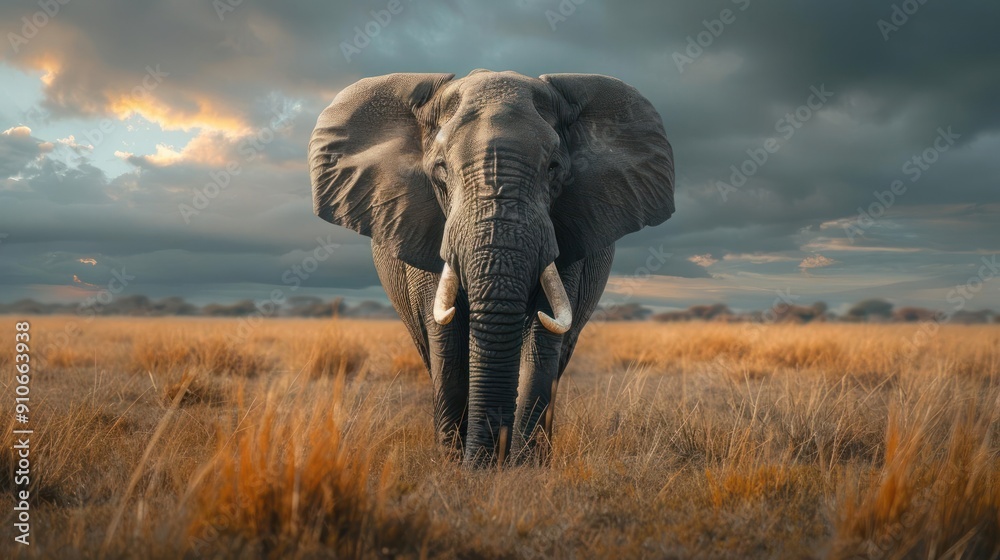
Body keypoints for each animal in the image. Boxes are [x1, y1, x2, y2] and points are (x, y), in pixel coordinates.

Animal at [308, 69, 674, 466]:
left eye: (554, 168)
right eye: (441, 169)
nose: (488, 460)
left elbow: (542, 337)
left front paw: (524, 467)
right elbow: (447, 340)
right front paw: (456, 464)